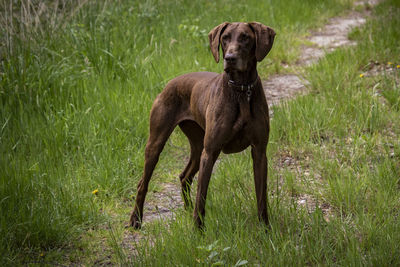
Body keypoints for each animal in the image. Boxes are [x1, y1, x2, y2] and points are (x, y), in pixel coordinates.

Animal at [130, 21, 276, 230]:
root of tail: (169, 84)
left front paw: (265, 228)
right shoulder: (211, 151)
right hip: (157, 143)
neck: (241, 90)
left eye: (246, 38)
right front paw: (198, 230)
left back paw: (186, 209)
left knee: (185, 176)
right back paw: (135, 219)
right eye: (225, 38)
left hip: (198, 146)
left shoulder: (259, 151)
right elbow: (202, 195)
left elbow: (261, 196)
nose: (230, 58)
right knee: (143, 183)